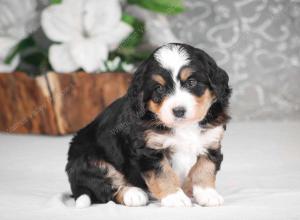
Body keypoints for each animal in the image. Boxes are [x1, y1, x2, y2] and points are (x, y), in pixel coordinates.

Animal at [65, 43, 231, 208]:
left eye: (191, 82)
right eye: (159, 88)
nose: (178, 111)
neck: (184, 127)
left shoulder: (211, 142)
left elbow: (204, 167)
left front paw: (208, 194)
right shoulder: (149, 150)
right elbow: (163, 174)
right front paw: (175, 197)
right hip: (89, 160)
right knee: (105, 188)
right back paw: (133, 194)